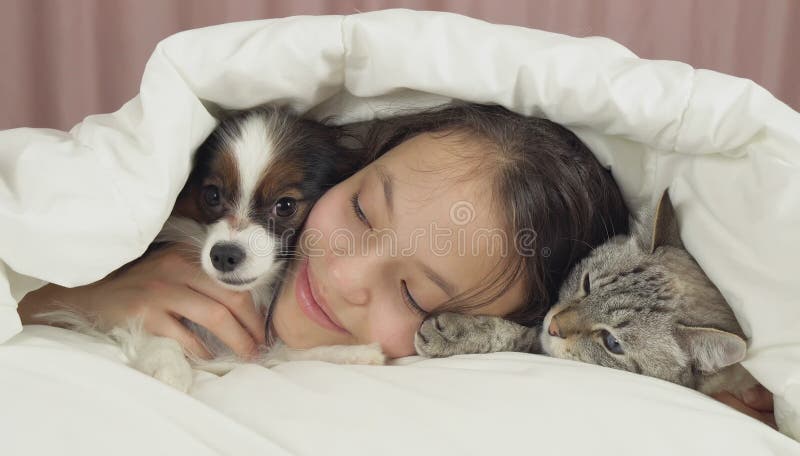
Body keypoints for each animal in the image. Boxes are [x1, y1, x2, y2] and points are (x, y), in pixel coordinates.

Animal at [44, 106, 388, 388]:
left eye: (286, 205)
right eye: (211, 195)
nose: (224, 255)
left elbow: (286, 350)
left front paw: (352, 353)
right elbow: (157, 331)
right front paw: (166, 366)